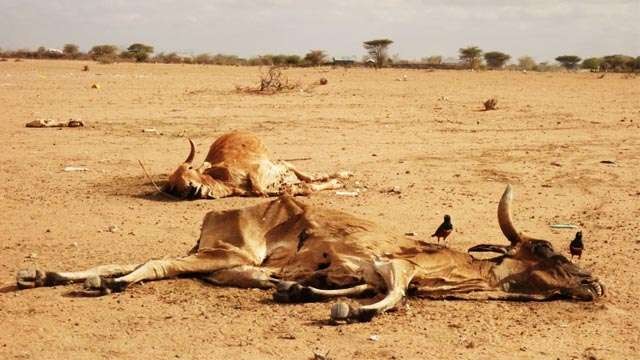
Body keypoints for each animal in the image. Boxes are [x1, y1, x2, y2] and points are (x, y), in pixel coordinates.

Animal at [160, 131, 350, 200]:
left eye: (190, 169)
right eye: (174, 186)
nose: (191, 188)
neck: (225, 180)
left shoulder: (263, 168)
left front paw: (338, 180)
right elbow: (300, 188)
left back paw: (343, 174)